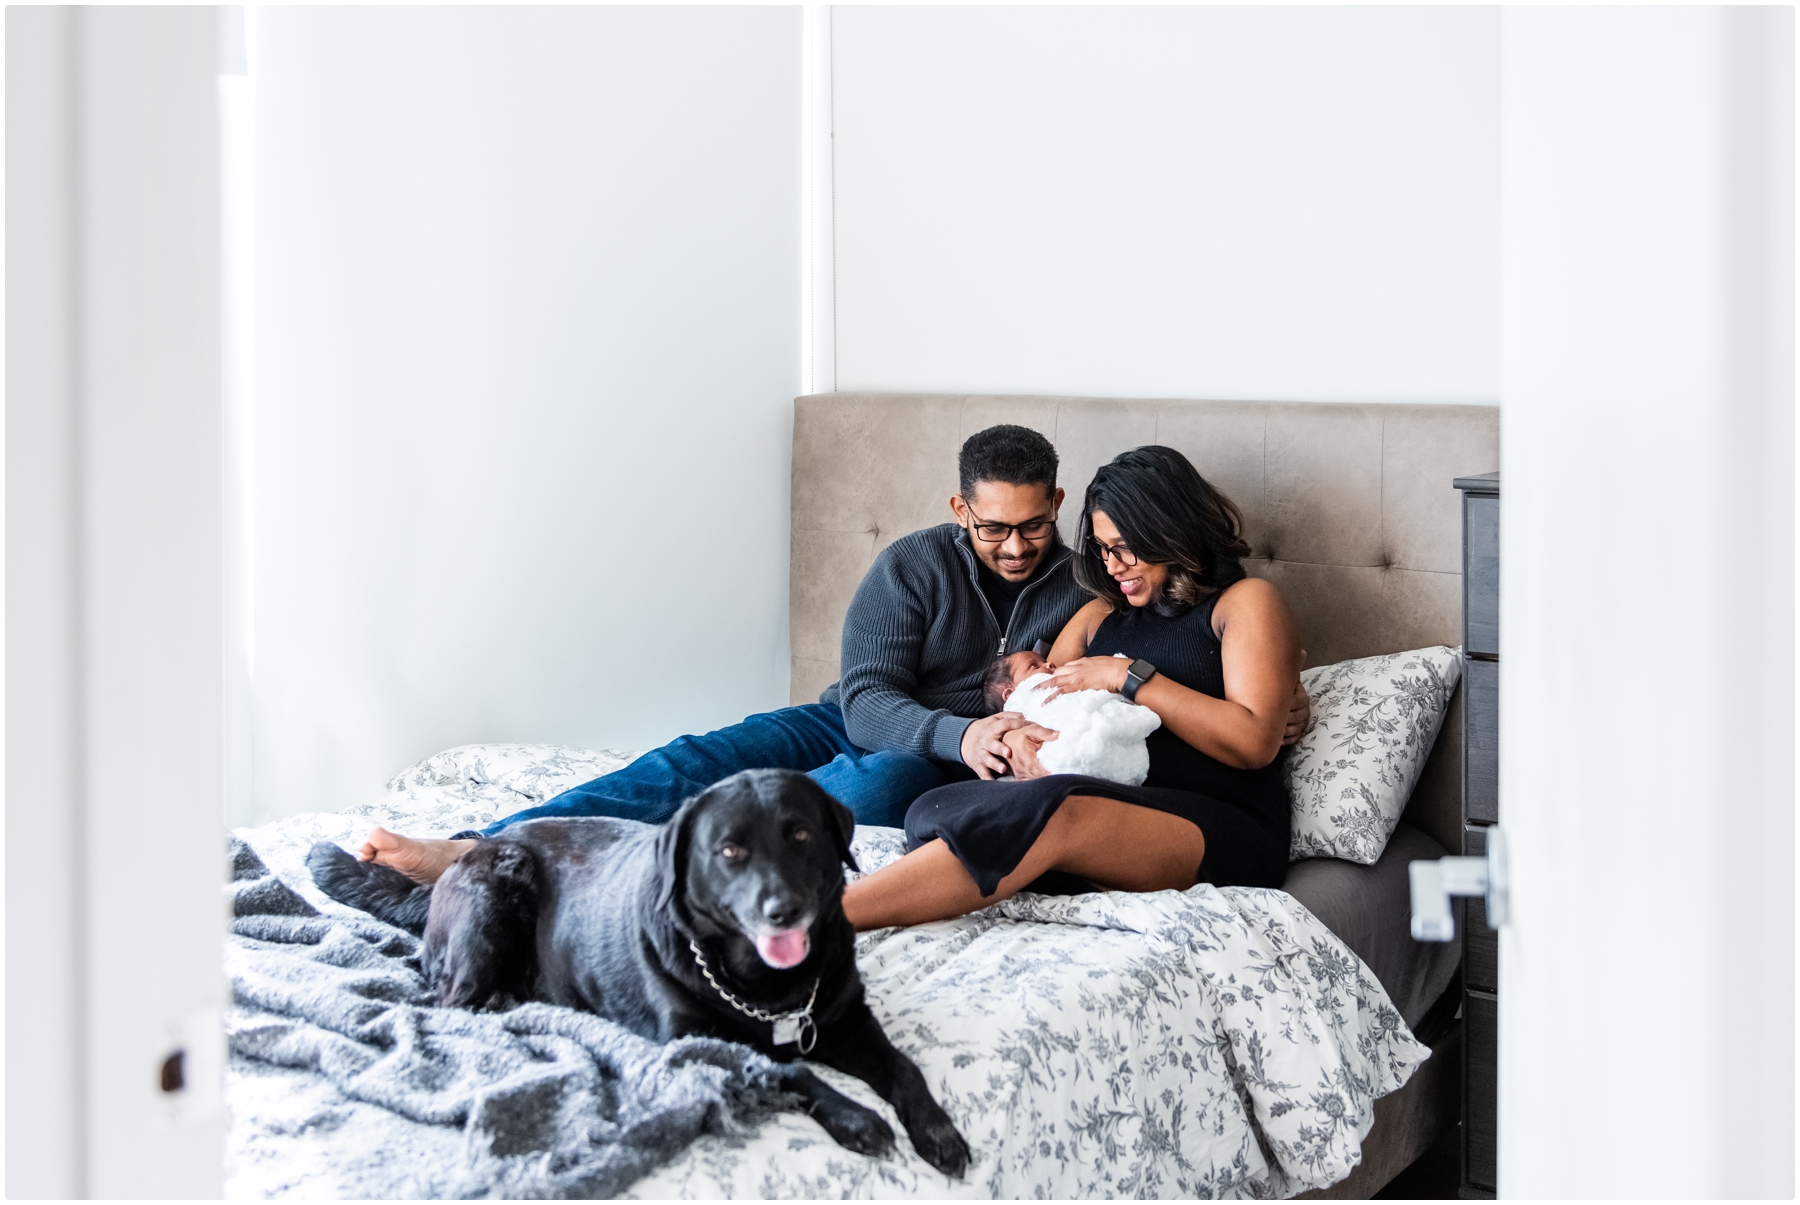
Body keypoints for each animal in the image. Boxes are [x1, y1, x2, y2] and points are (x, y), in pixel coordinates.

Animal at [309, 767, 972, 1167]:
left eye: (802, 836)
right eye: (729, 850)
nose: (782, 910)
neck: (767, 989)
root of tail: (454, 866)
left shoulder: (849, 1020)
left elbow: (905, 1067)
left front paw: (937, 1131)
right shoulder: (697, 1041)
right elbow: (789, 1071)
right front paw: (856, 1117)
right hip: (492, 896)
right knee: (445, 1000)